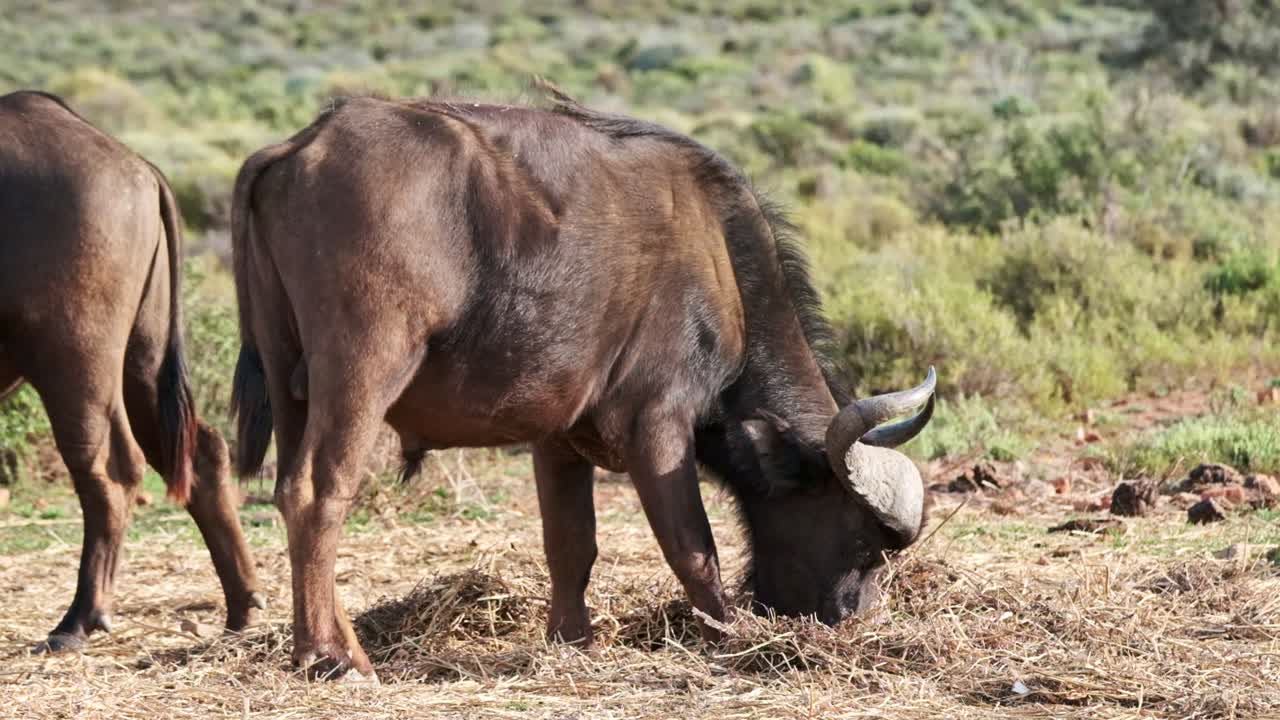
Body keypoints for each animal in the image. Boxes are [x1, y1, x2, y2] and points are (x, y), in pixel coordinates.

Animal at [0, 91, 263, 650]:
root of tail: (133, 164)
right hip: (143, 358)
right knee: (201, 450)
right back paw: (242, 606)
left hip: (75, 360)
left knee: (111, 469)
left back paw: (79, 619)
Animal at [231, 88, 934, 681]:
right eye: (863, 539)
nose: (859, 622)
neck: (717, 257)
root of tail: (299, 149)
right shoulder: (659, 427)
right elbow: (693, 547)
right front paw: (727, 635)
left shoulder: (557, 439)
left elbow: (571, 545)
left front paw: (573, 639)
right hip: (362, 370)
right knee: (318, 492)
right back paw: (335, 657)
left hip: (290, 383)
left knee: (290, 492)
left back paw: (322, 646)